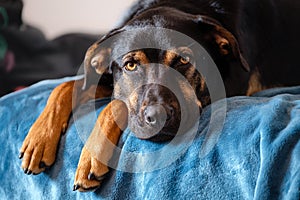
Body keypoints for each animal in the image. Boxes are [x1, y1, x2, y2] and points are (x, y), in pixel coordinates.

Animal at [18, 0, 300, 192]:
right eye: (131, 65)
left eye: (184, 60)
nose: (158, 116)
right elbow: (65, 87)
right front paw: (39, 139)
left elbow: (116, 104)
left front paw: (92, 154)